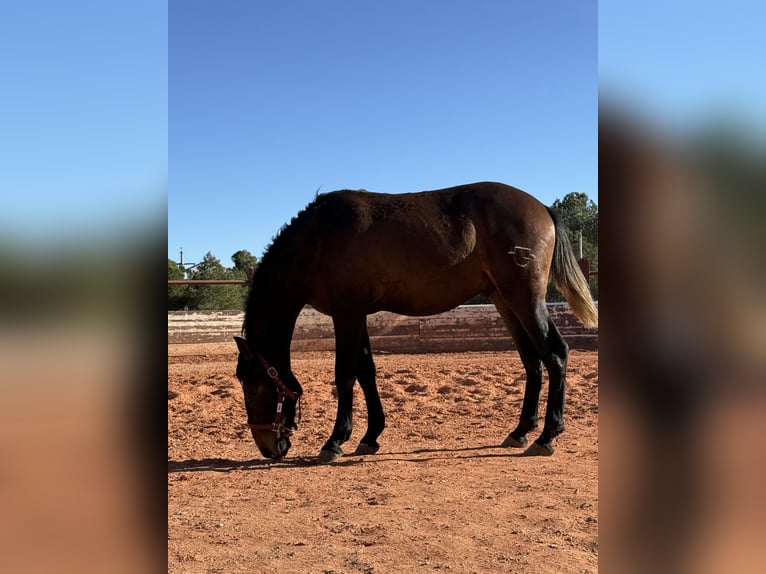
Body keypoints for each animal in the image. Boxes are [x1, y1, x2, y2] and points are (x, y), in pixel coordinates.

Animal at [234, 182, 600, 466]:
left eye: (249, 382)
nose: (268, 448)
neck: (318, 238)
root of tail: (543, 209)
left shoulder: (346, 313)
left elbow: (345, 373)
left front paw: (335, 441)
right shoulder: (359, 314)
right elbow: (366, 371)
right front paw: (370, 436)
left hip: (524, 299)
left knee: (555, 354)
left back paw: (547, 436)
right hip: (505, 302)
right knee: (532, 362)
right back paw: (521, 432)